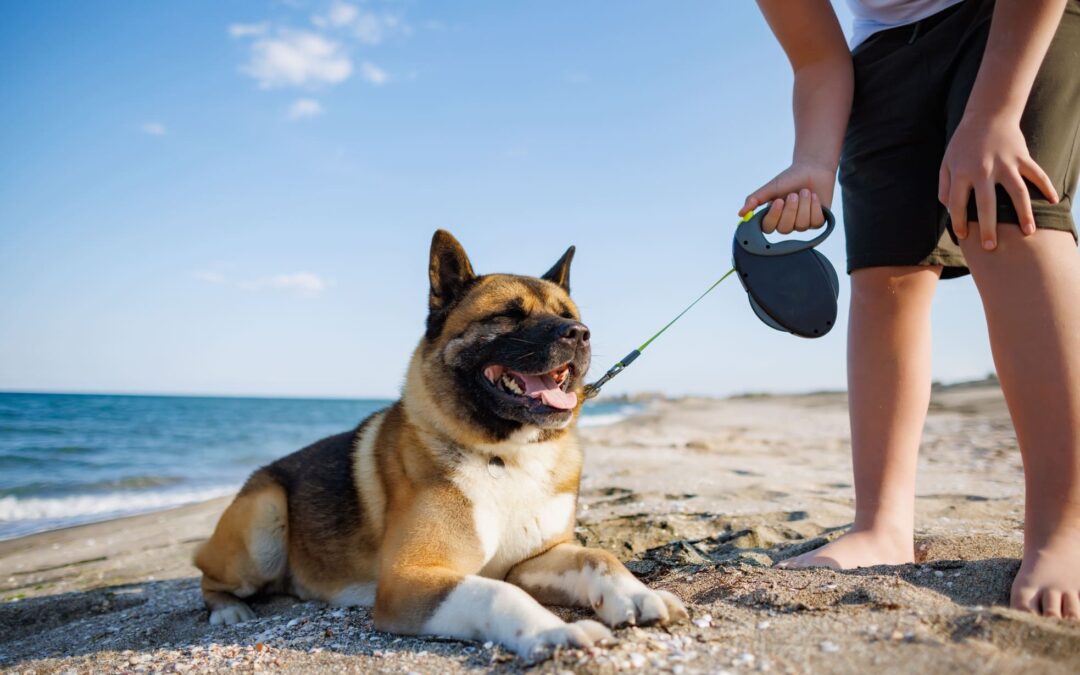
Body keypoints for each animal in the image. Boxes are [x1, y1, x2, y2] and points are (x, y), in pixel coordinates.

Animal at [193, 228, 682, 656]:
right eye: (507, 315)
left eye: (568, 314)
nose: (578, 333)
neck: (505, 455)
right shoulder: (408, 579)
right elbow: (498, 594)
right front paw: (551, 632)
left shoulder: (535, 560)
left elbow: (598, 558)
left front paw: (634, 593)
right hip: (265, 517)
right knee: (207, 574)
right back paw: (230, 611)